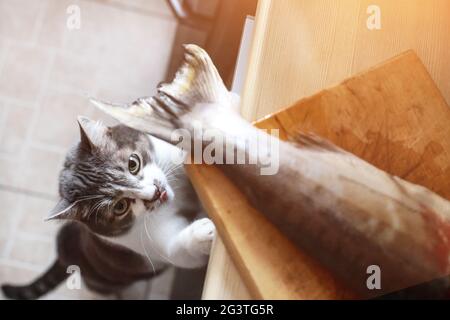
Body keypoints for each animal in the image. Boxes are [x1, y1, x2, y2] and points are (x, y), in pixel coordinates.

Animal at [1, 115, 216, 300]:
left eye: (133, 164)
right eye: (120, 206)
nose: (155, 192)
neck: (175, 201)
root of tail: (64, 256)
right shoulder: (142, 241)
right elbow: (179, 252)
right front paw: (203, 232)